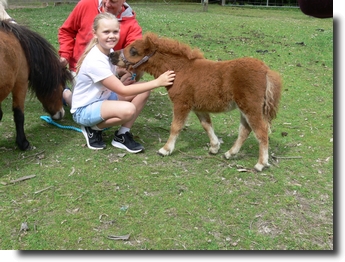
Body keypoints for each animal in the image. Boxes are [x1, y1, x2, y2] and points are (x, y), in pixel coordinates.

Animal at [109, 32, 280, 172]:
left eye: (133, 51)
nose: (112, 56)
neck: (180, 70)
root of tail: (266, 70)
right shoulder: (198, 107)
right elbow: (207, 125)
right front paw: (214, 148)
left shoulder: (181, 103)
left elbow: (175, 127)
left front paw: (165, 149)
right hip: (244, 108)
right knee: (245, 130)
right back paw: (229, 154)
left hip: (251, 107)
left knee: (261, 131)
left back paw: (260, 164)